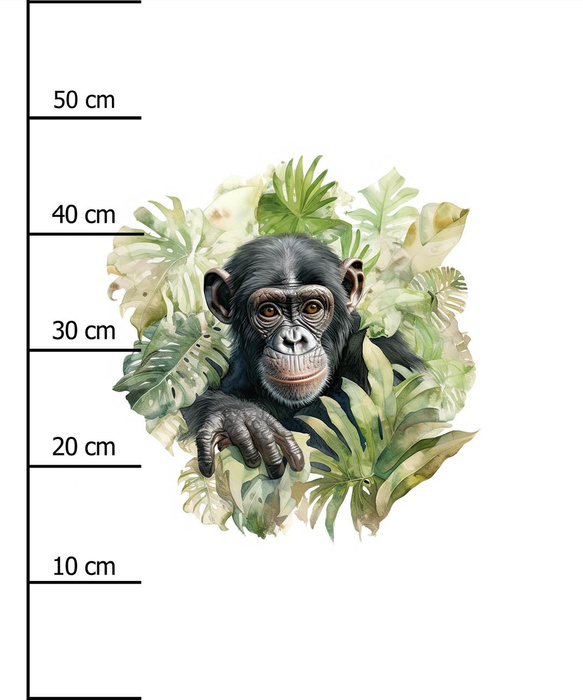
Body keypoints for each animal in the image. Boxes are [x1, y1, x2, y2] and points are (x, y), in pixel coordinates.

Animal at [182, 233, 423, 479]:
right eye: (269, 311)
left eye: (312, 308)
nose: (293, 340)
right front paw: (241, 418)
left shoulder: (383, 358)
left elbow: (321, 447)